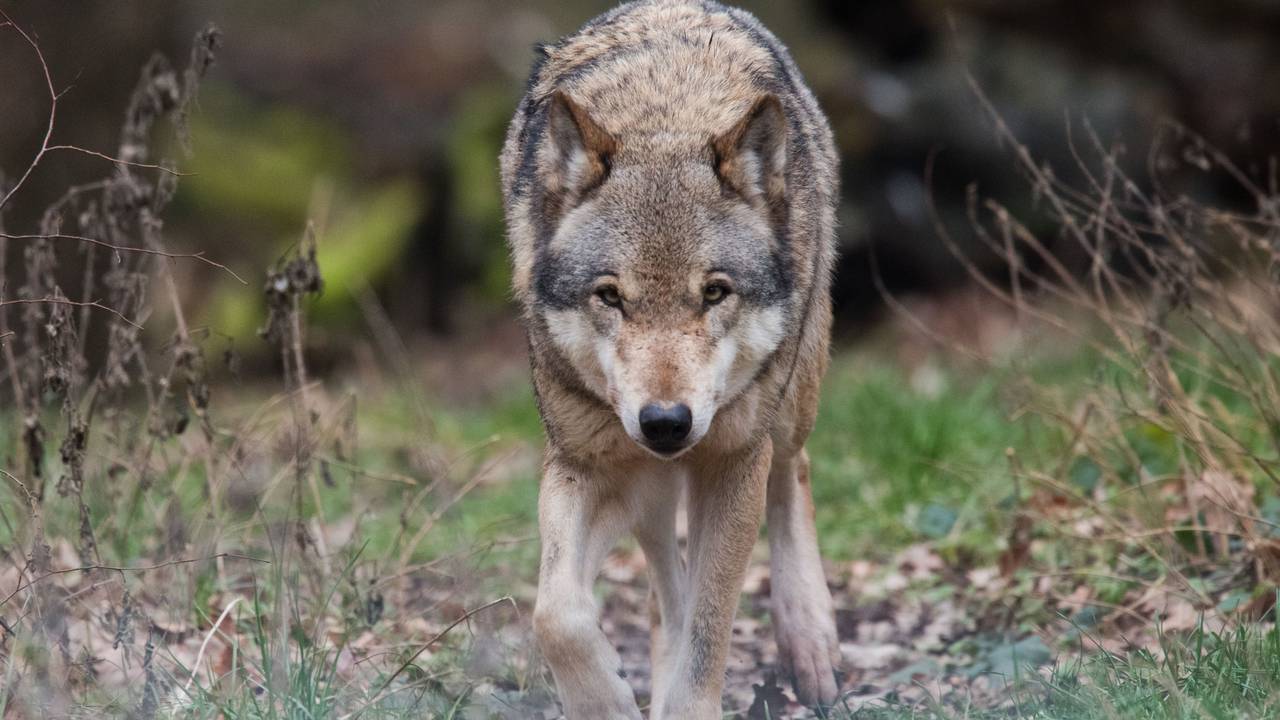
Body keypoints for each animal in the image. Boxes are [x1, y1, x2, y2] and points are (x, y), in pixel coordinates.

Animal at [500, 1, 840, 717]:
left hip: (787, 403)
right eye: (610, 296)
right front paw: (607, 701)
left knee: (793, 470)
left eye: (714, 292)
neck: (664, 118)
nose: (665, 422)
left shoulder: (733, 461)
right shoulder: (585, 462)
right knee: (664, 582)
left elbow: (708, 635)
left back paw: (811, 643)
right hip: (648, 485)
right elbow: (556, 614)